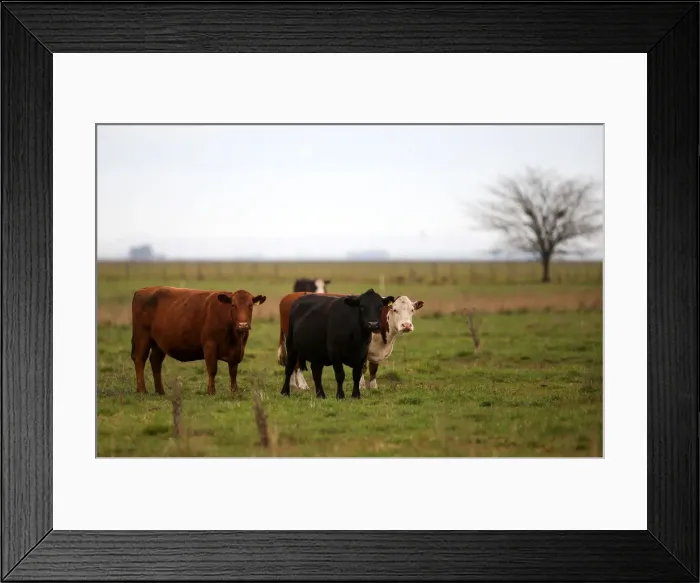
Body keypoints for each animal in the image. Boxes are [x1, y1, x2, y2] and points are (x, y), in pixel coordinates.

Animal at [130, 286, 266, 396]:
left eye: (250, 306)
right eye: (233, 305)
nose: (243, 325)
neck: (234, 337)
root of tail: (142, 290)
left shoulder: (237, 351)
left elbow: (233, 372)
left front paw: (235, 391)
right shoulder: (210, 346)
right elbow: (212, 369)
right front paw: (211, 391)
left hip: (159, 343)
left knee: (155, 362)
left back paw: (160, 391)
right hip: (142, 337)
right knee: (140, 359)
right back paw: (142, 390)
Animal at [277, 292, 424, 391]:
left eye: (412, 310)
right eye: (395, 310)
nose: (406, 325)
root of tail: (291, 296)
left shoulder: (376, 351)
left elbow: (373, 369)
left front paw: (373, 386)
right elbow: (362, 368)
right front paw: (361, 386)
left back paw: (292, 383)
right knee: (296, 363)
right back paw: (302, 385)